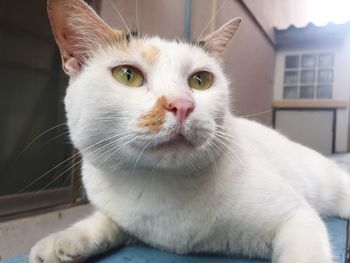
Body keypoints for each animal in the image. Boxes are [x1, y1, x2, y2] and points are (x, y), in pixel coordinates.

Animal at [29, 0, 350, 263]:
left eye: (200, 80)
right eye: (128, 75)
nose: (182, 105)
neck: (158, 184)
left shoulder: (297, 218)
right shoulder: (124, 215)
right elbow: (106, 221)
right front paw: (62, 241)